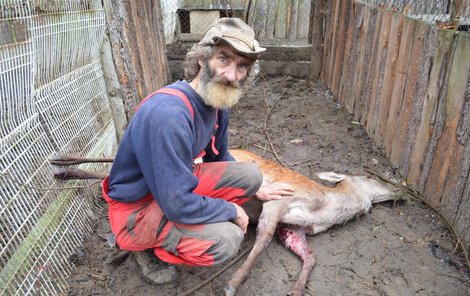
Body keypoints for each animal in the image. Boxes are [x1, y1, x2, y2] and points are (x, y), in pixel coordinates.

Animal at [49, 149, 398, 296]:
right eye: (372, 177)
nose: (399, 189)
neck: (323, 208)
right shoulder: (280, 200)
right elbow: (261, 239)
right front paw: (233, 283)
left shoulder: (293, 230)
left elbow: (310, 256)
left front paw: (297, 289)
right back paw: (65, 166)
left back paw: (64, 165)